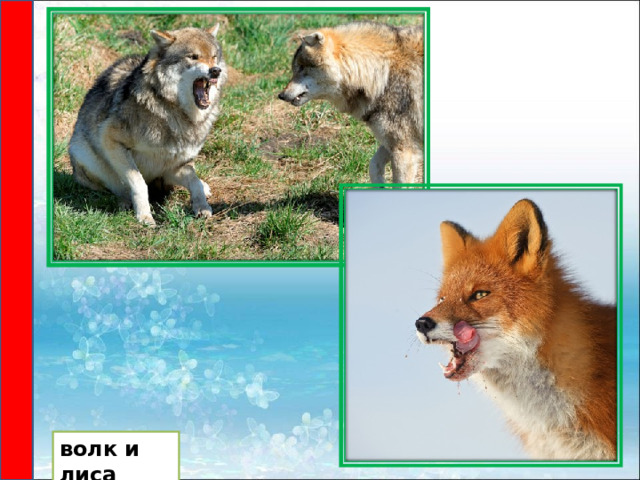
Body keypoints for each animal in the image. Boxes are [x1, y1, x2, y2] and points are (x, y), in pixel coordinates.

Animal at [68, 25, 227, 226]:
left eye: (214, 56)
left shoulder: (174, 165)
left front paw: (202, 207)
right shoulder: (111, 139)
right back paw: (124, 201)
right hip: (85, 155)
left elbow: (195, 181)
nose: (215, 71)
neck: (174, 113)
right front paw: (144, 216)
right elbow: (139, 183)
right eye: (193, 57)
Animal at [278, 22, 424, 184]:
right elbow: (373, 166)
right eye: (294, 69)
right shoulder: (391, 142)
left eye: (302, 67)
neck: (382, 74)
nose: (281, 95)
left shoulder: (404, 148)